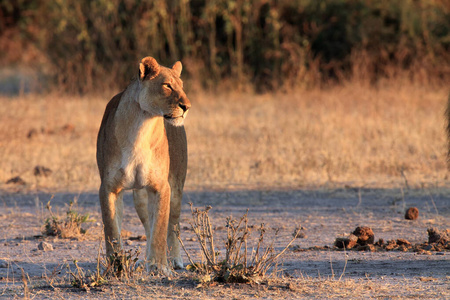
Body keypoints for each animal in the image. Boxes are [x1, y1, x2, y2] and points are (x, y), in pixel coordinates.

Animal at [96, 55, 191, 274]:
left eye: (182, 86)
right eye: (167, 86)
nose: (187, 106)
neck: (141, 127)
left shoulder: (162, 187)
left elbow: (160, 230)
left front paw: (159, 267)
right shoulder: (108, 187)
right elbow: (112, 230)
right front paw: (116, 267)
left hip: (176, 186)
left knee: (173, 226)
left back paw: (174, 260)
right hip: (139, 195)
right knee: (148, 224)